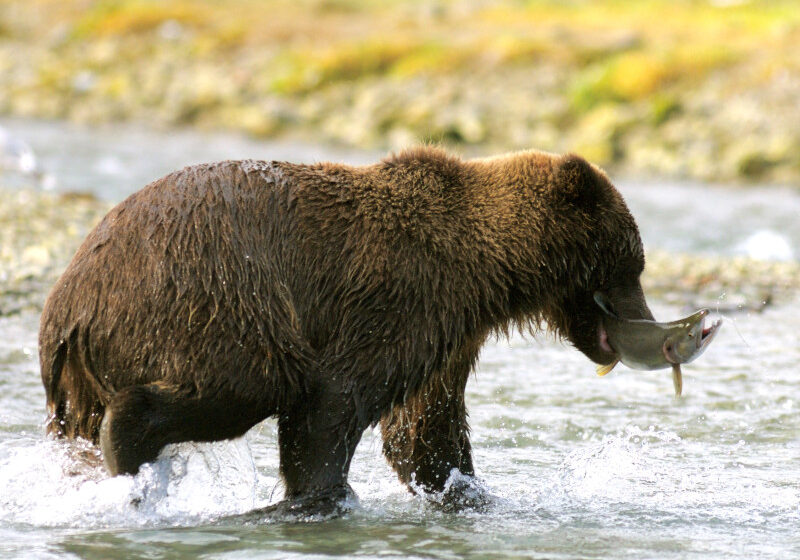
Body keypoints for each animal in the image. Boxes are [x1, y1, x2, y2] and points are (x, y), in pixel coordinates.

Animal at [38, 147, 654, 515]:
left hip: (86, 375)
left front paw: (472, 492)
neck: (491, 270)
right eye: (632, 265)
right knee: (252, 381)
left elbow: (425, 429)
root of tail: (69, 307)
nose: (649, 323)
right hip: (212, 294)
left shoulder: (449, 332)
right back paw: (128, 447)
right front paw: (324, 495)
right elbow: (334, 399)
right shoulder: (397, 294)